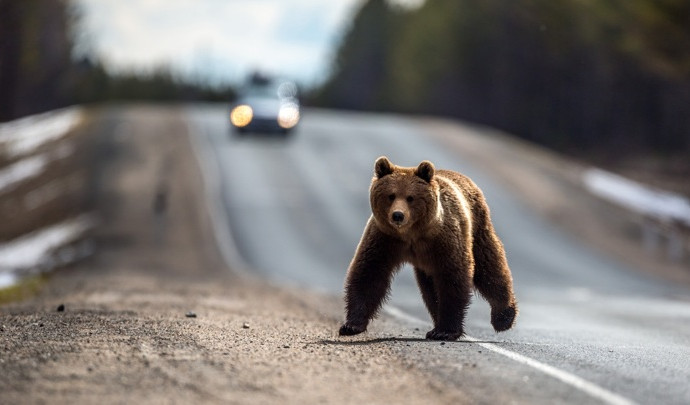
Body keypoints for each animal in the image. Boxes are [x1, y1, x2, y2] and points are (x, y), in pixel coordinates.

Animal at [338, 156, 516, 340]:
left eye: (410, 197)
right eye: (391, 195)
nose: (398, 215)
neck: (412, 234)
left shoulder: (444, 240)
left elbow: (453, 277)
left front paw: (447, 331)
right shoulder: (385, 238)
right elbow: (369, 272)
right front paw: (351, 325)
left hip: (477, 227)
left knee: (489, 266)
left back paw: (503, 317)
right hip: (427, 264)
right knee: (430, 289)